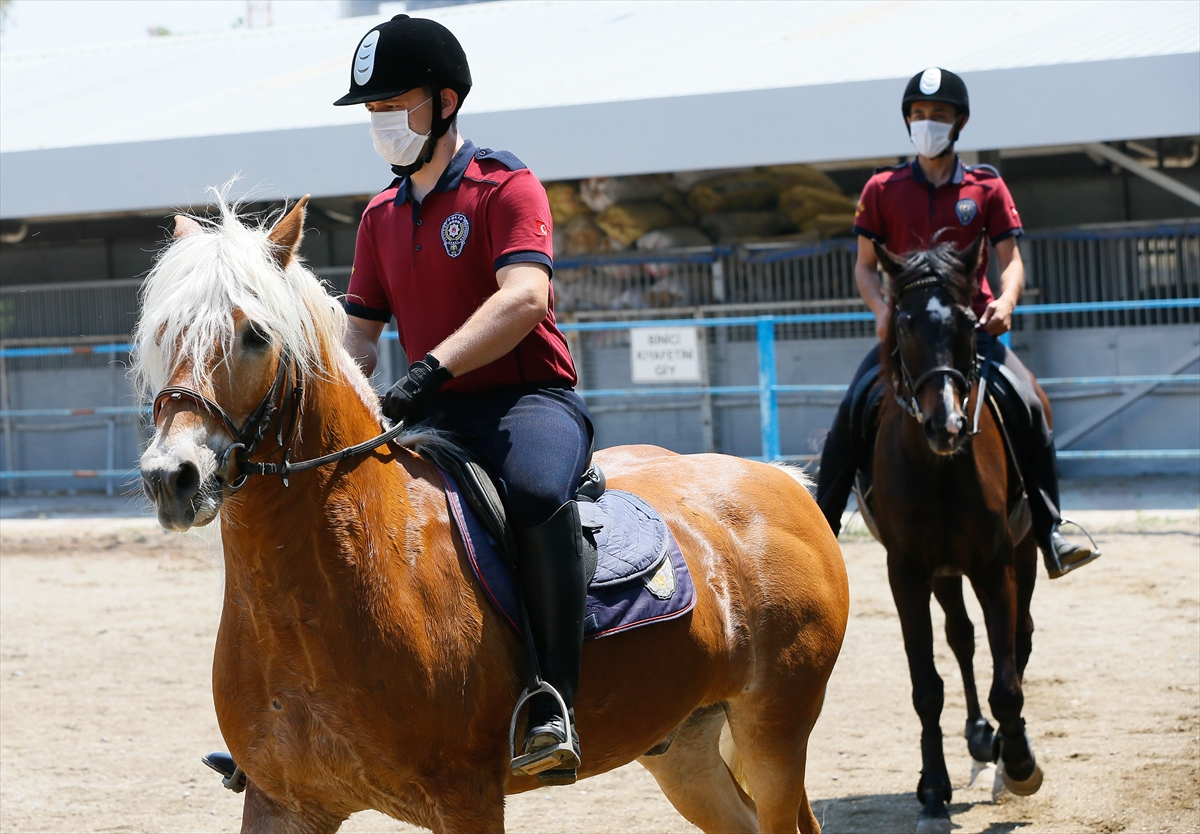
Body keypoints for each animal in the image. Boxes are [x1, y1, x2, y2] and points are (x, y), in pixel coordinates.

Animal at [136, 196, 849, 834]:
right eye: (161, 334)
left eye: (256, 335)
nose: (172, 477)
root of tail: (780, 480)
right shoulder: (283, 803)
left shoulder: (466, 798)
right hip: (686, 748)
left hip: (774, 728)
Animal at [864, 236, 1051, 834]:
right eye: (903, 324)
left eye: (970, 323)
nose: (944, 425)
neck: (938, 467)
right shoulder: (907, 573)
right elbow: (927, 686)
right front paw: (932, 790)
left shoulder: (995, 565)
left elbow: (1008, 680)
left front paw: (1019, 762)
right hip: (945, 573)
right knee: (962, 638)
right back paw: (976, 738)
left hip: (1022, 554)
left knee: (1018, 638)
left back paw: (999, 749)